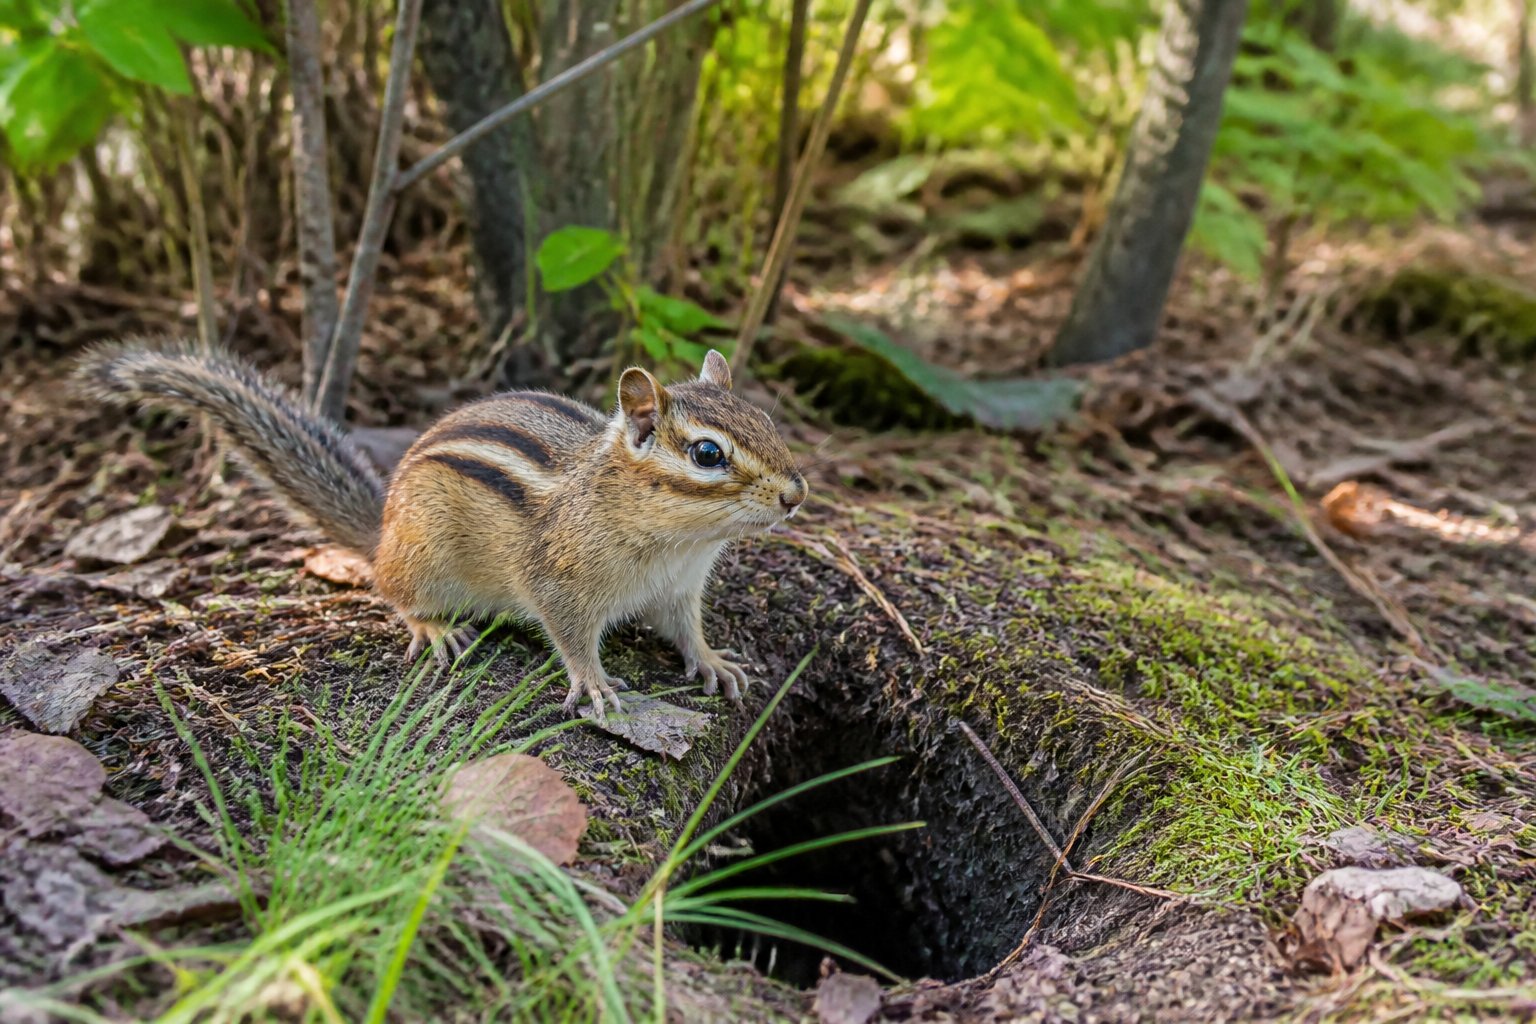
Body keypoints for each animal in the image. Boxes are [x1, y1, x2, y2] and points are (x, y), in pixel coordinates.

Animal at [74, 340, 808, 722]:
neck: (674, 543)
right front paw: (595, 682)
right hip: (423, 556)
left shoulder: (679, 590)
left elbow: (686, 630)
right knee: (390, 590)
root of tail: (382, 531)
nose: (797, 494)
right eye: (707, 454)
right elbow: (570, 637)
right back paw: (430, 626)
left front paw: (713, 662)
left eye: (768, 423)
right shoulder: (559, 581)